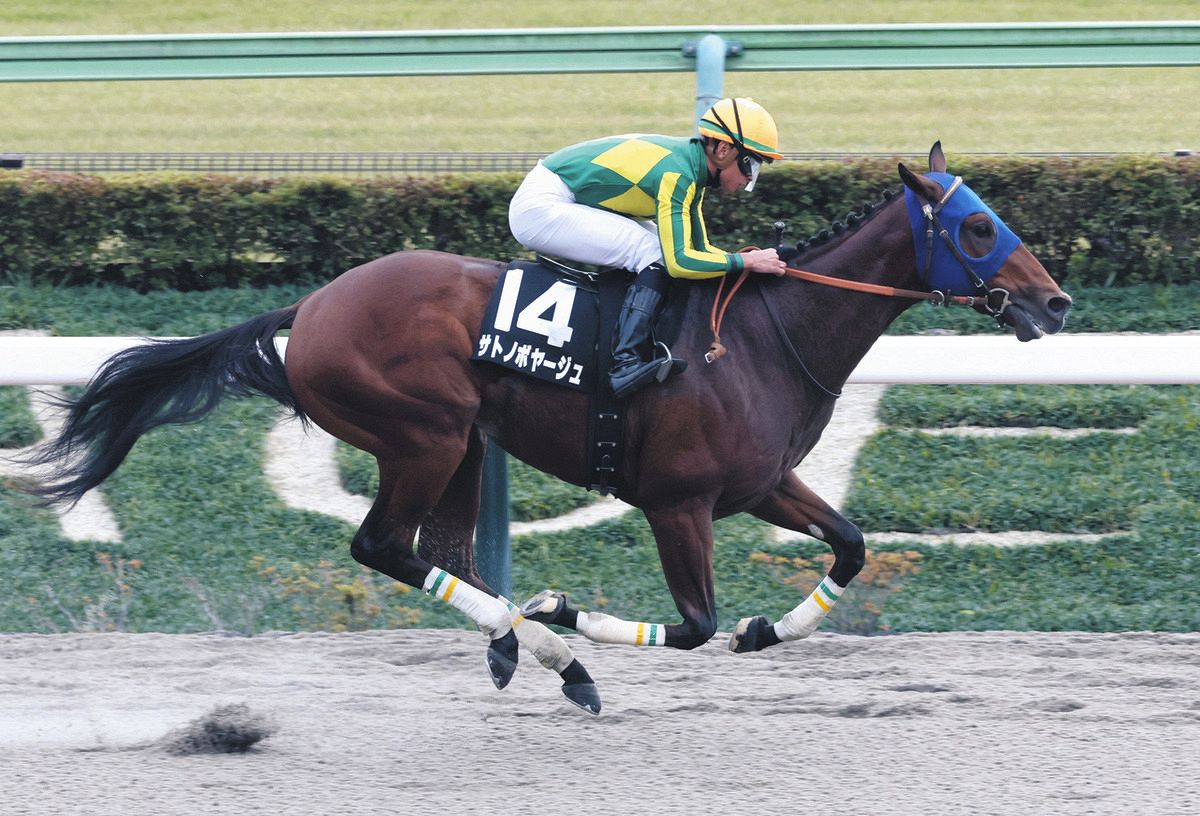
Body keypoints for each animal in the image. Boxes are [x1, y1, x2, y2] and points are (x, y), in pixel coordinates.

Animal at [24, 143, 1070, 715]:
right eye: (978, 229)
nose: (1054, 304)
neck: (765, 336)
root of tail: (311, 306)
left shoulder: (762, 482)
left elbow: (848, 547)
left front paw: (768, 627)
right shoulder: (678, 502)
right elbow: (692, 625)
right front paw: (567, 612)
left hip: (460, 442)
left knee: (440, 552)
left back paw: (517, 645)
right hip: (424, 434)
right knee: (385, 546)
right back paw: (554, 651)